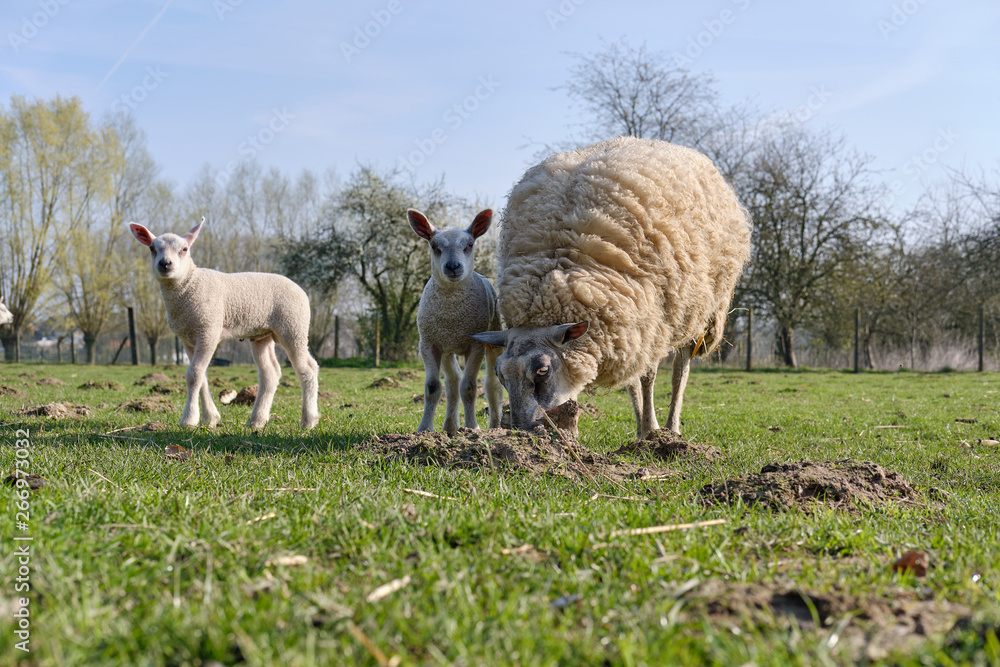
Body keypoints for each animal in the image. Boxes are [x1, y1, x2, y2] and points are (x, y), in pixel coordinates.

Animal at [127, 217, 318, 430]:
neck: (188, 286)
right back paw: (256, 420)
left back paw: (308, 420)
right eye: (152, 248)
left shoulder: (208, 329)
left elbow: (194, 374)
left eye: (184, 249)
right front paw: (210, 418)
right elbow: (201, 377)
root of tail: (301, 290)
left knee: (308, 368)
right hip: (262, 335)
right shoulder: (187, 338)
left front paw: (189, 419)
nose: (165, 263)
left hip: (293, 326)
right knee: (270, 373)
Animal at [406, 210, 504, 438]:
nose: (452, 266)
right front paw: (424, 430)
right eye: (434, 246)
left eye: (469, 244)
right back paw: (450, 427)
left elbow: (468, 387)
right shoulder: (429, 343)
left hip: (493, 335)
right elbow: (433, 387)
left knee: (491, 384)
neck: (452, 313)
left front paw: (472, 427)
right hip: (446, 347)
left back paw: (494, 427)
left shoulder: (475, 344)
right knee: (452, 382)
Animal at [474, 136, 752, 438]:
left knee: (681, 368)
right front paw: (642, 429)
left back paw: (671, 427)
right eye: (500, 374)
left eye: (542, 371)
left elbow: (648, 377)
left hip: (697, 310)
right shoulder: (625, 322)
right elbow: (632, 380)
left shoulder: (652, 320)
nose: (523, 431)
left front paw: (650, 430)